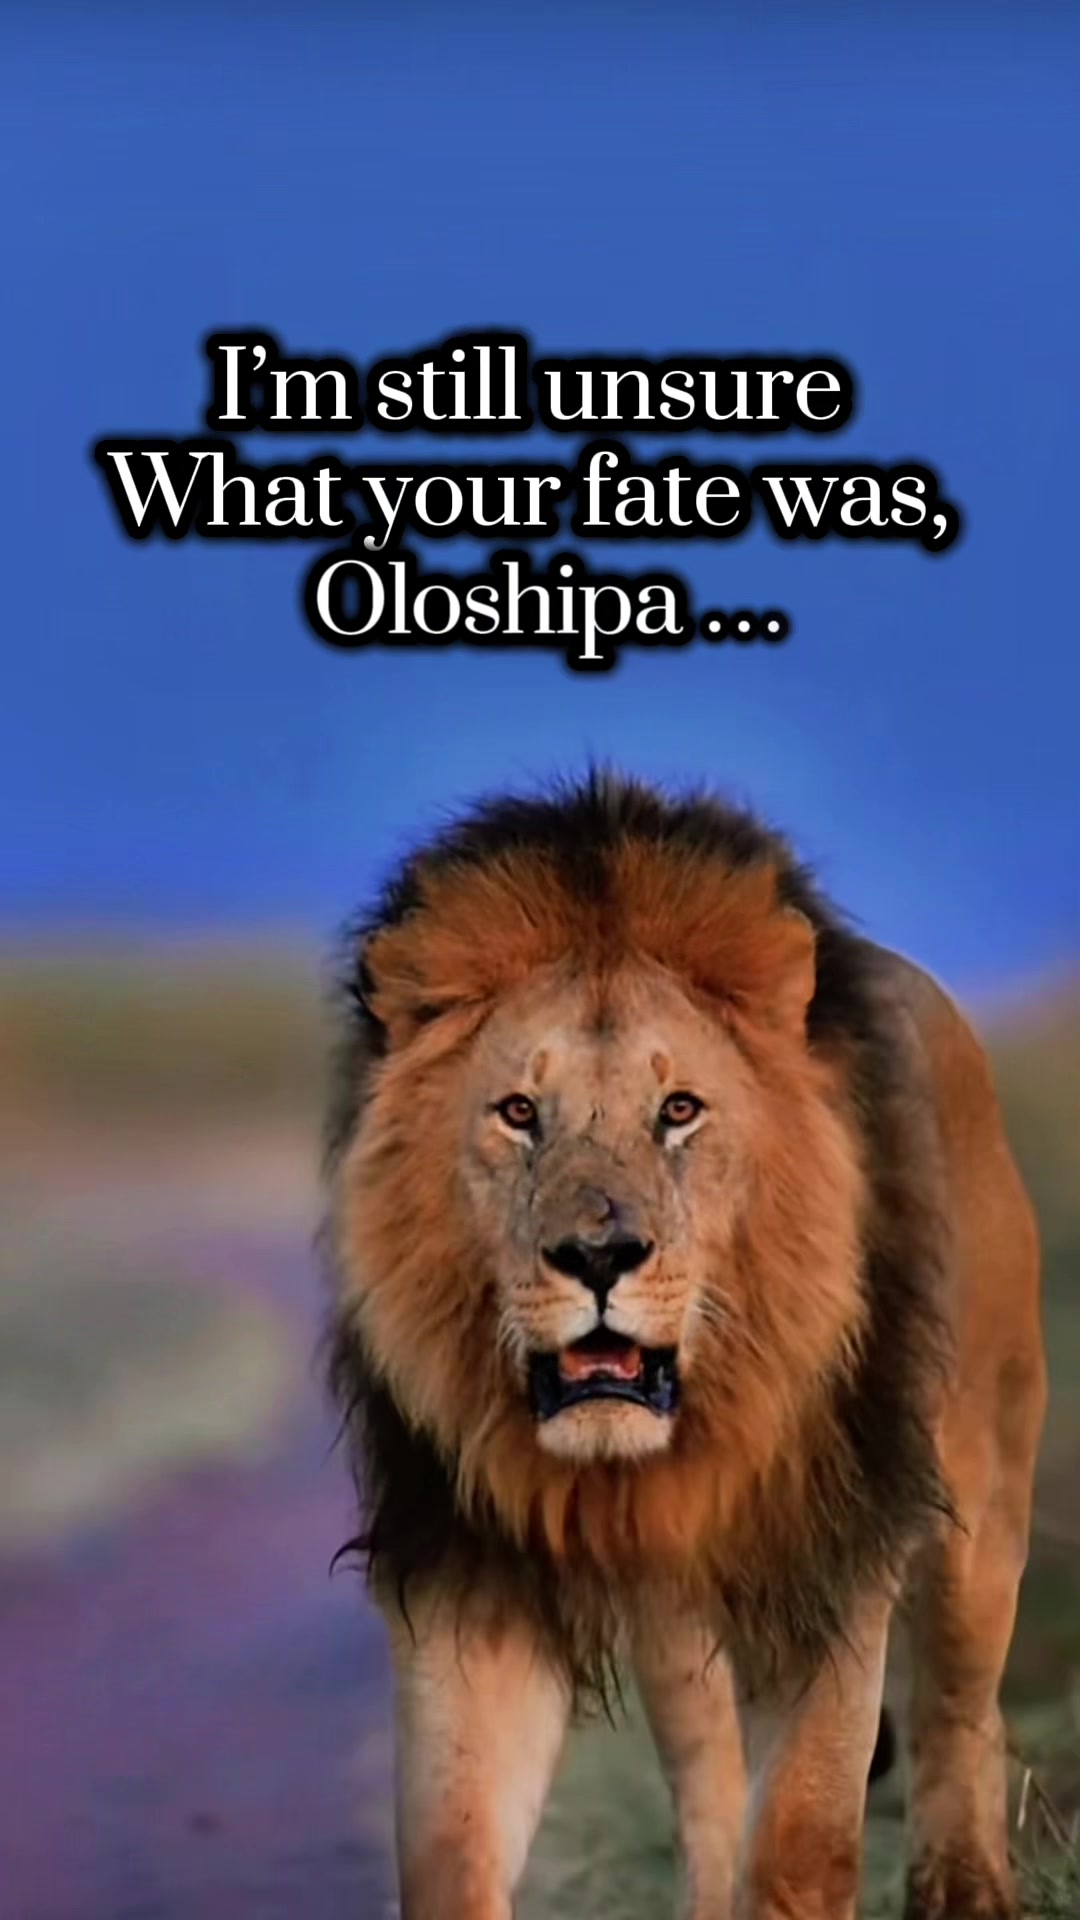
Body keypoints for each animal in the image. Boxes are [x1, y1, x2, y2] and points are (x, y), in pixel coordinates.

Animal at [325, 774, 1046, 1920]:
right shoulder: (471, 1575)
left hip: (985, 1490)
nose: (598, 1254)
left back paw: (965, 1887)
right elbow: (453, 1846)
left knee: (960, 1708)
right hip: (683, 1633)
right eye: (518, 1112)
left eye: (679, 1111)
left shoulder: (830, 1559)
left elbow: (800, 1838)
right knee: (709, 1782)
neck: (642, 1470)